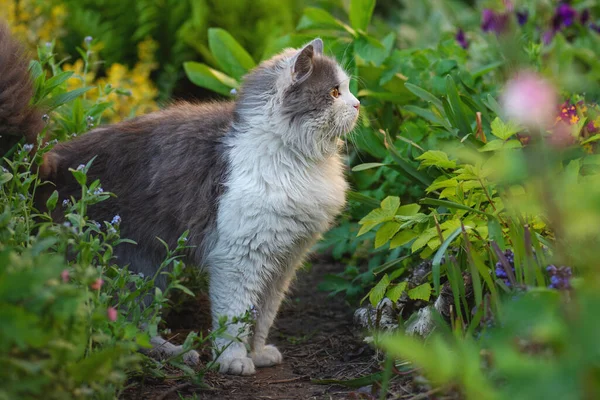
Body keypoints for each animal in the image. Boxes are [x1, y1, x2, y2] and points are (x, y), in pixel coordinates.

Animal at [0, 24, 358, 376]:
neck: (295, 157)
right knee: (124, 322)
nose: (357, 105)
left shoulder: (283, 261)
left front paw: (257, 354)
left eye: (347, 89)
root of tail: (46, 165)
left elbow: (262, 315)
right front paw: (232, 360)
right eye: (334, 92)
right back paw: (177, 354)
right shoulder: (239, 257)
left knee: (129, 325)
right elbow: (235, 316)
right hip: (137, 266)